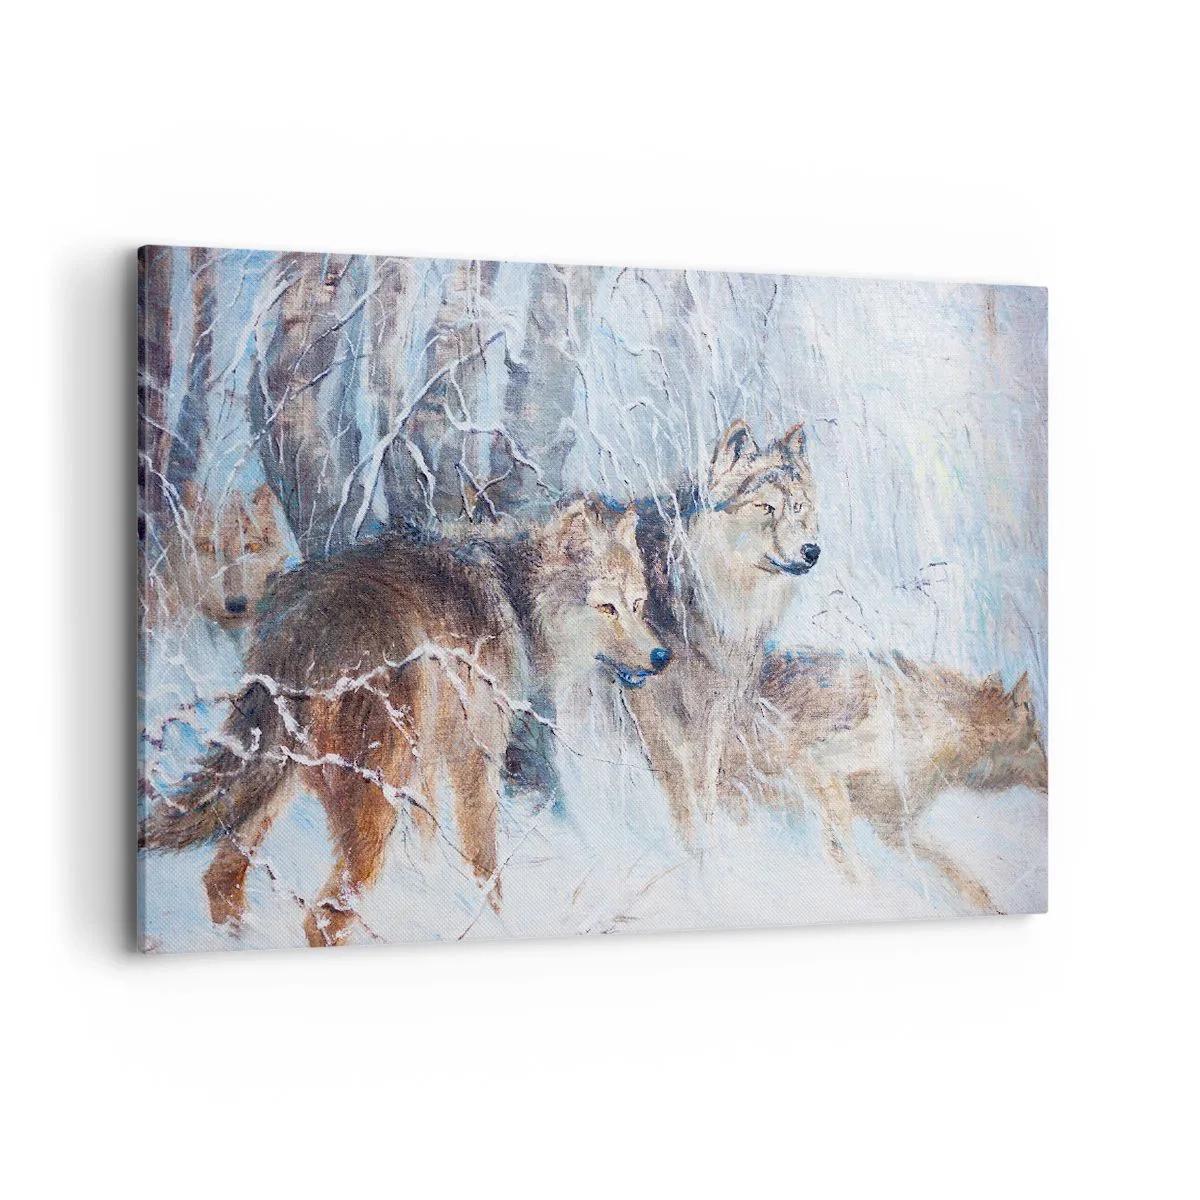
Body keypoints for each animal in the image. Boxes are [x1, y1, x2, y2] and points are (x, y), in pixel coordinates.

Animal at [140, 498, 669, 946]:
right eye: (607, 607)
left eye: (637, 604)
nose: (661, 657)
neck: (515, 598)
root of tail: (304, 626)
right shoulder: (474, 760)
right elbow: (485, 864)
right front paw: (496, 924)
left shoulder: (429, 763)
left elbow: (430, 843)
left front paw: (431, 892)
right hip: (374, 800)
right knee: (322, 919)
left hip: (284, 780)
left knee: (221, 875)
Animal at [627, 419, 820, 835]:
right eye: (765, 507)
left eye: (798, 507)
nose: (812, 551)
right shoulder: (646, 699)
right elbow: (677, 777)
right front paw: (689, 841)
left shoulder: (717, 703)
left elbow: (704, 779)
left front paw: (710, 836)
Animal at [740, 651, 1048, 911]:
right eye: (1037, 737)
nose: (1049, 778)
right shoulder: (818, 764)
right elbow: (847, 850)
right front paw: (867, 894)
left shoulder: (892, 828)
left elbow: (956, 870)